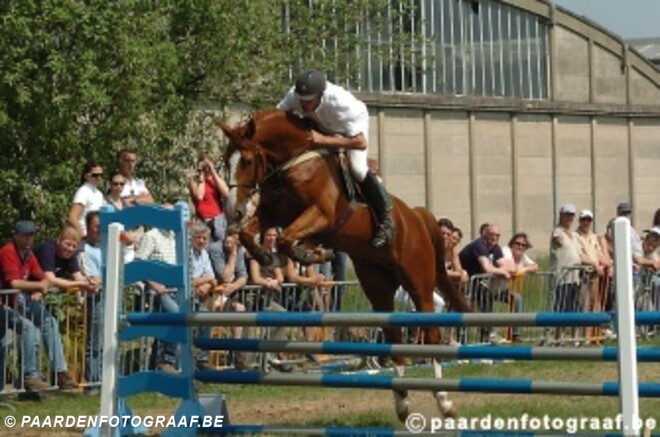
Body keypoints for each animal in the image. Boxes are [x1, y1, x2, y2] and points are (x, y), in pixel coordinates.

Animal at [218, 108, 471, 421]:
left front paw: (305, 255)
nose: (233, 211)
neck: (294, 162)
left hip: (419, 282)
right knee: (394, 335)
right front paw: (271, 257)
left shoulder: (320, 215)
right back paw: (402, 402)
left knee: (432, 333)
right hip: (378, 286)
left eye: (247, 161)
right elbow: (250, 234)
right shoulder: (272, 213)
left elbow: (286, 238)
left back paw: (444, 401)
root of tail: (417, 217)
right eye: (225, 160)